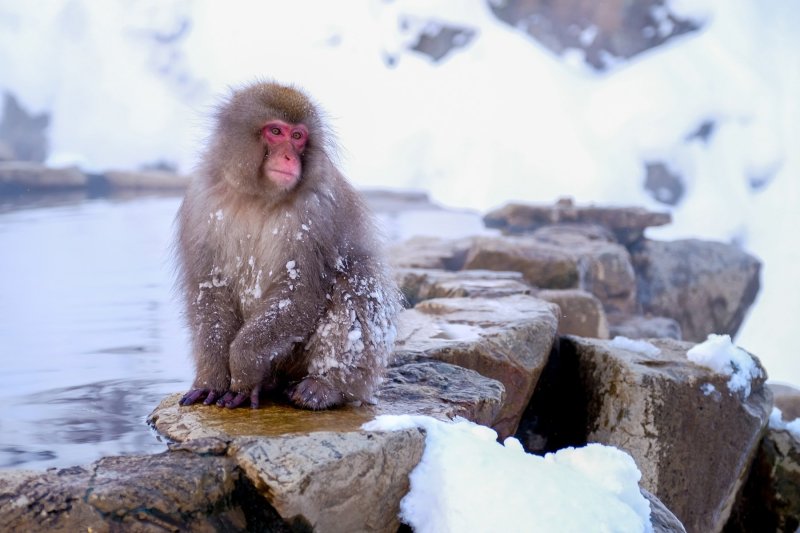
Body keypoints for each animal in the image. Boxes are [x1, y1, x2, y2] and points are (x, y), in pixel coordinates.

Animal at [176, 82, 401, 410]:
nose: (288, 158)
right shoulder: (201, 203)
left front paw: (243, 370)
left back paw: (324, 386)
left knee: (357, 280)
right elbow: (210, 291)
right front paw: (211, 380)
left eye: (297, 137)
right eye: (276, 132)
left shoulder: (316, 213)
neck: (257, 196)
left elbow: (301, 291)